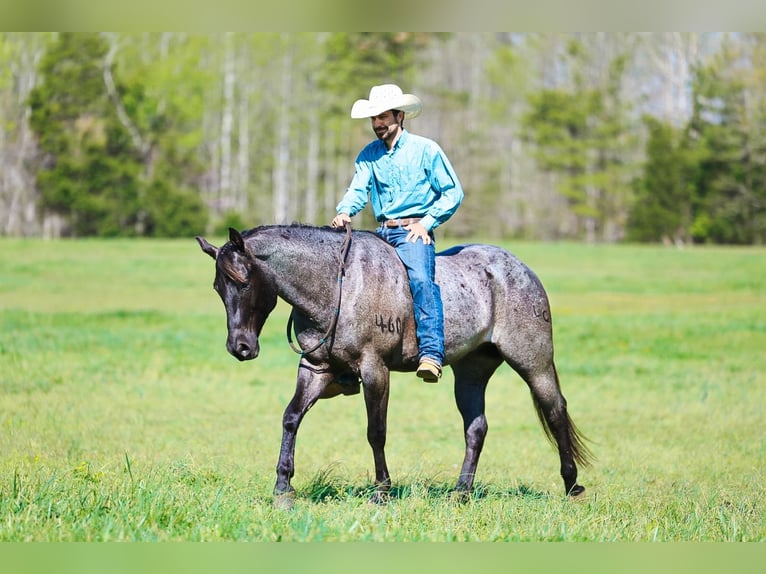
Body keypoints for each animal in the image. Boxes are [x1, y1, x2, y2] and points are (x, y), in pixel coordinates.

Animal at [196, 224, 591, 507]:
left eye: (243, 282)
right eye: (217, 288)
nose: (240, 347)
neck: (340, 286)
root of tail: (521, 269)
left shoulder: (375, 370)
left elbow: (376, 431)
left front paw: (381, 491)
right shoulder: (314, 369)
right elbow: (291, 418)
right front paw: (283, 487)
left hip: (534, 362)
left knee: (555, 410)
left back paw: (572, 486)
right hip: (471, 372)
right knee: (476, 428)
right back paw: (461, 493)